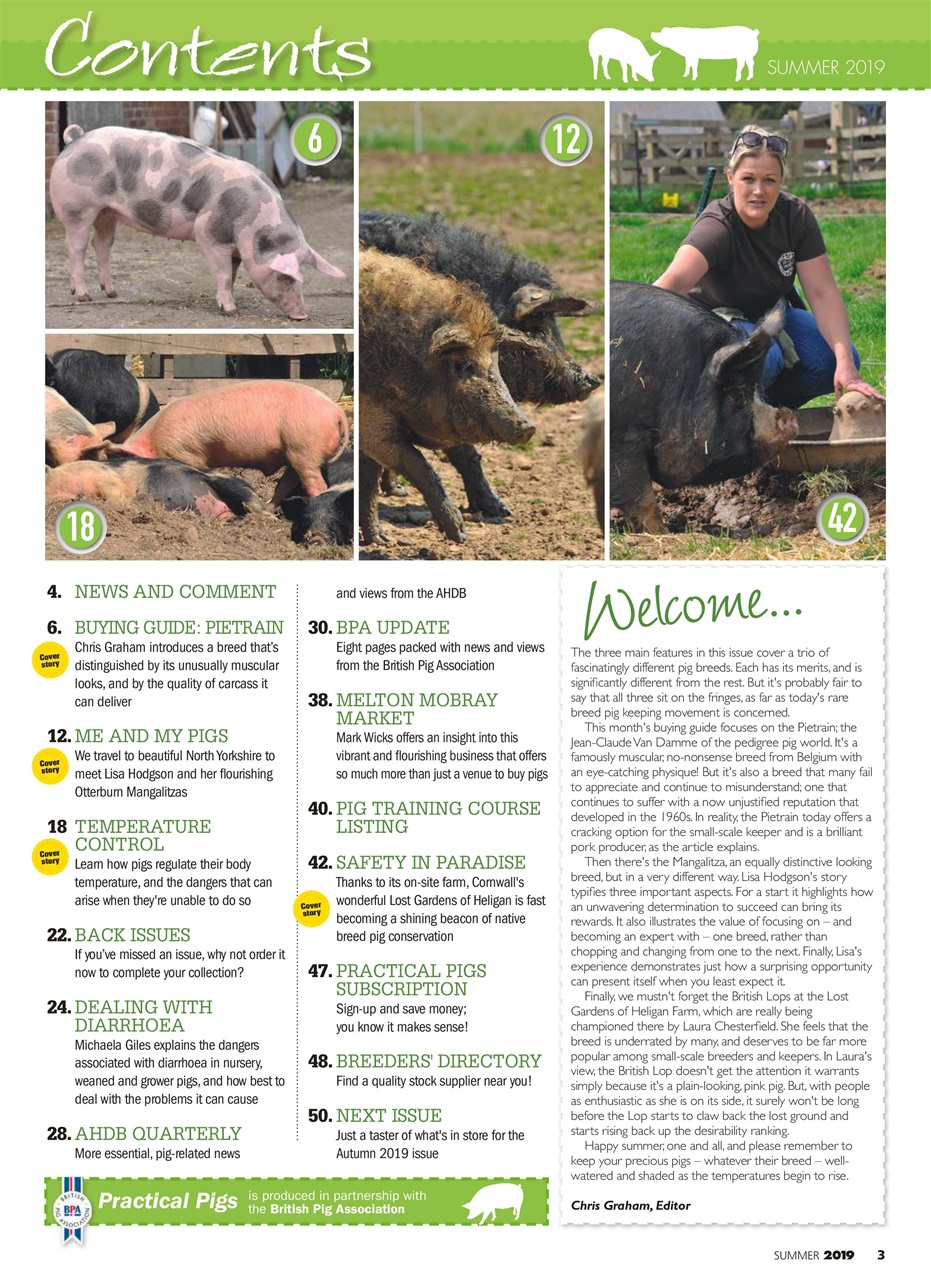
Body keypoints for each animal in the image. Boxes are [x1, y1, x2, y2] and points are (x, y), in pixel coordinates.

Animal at [49, 125, 345, 320]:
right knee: (75, 247)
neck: (252, 226)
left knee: (102, 245)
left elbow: (232, 275)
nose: (303, 316)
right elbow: (223, 274)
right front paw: (230, 310)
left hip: (106, 213)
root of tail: (75, 139)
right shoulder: (208, 232)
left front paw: (230, 303)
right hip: (78, 208)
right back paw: (83, 295)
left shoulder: (234, 248)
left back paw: (111, 293)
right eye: (285, 276)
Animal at [108, 381, 350, 509]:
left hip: (305, 449)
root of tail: (337, 412)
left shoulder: (189, 453)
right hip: (295, 453)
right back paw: (271, 508)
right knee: (287, 483)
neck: (155, 439)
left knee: (316, 485)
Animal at [358, 248, 534, 544]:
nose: (527, 426)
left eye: (496, 363)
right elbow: (417, 463)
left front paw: (380, 541)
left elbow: (368, 479)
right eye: (463, 365)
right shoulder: (371, 420)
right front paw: (460, 534)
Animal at [610, 282, 798, 532]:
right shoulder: (623, 436)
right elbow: (640, 496)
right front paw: (662, 533)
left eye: (757, 388)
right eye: (737, 392)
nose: (789, 416)